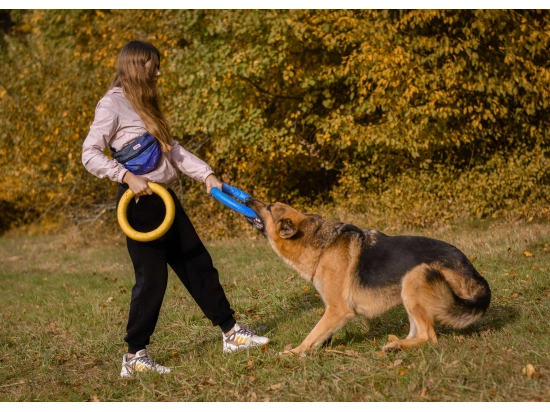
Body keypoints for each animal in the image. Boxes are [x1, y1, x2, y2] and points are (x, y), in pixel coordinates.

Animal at [246, 198, 492, 352]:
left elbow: (312, 334)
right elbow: (321, 334)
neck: (322, 245)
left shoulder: (338, 310)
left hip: (416, 277)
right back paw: (396, 344)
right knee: (418, 333)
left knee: (428, 336)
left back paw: (398, 346)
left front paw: (297, 352)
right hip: (407, 292)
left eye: (269, 207)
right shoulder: (332, 312)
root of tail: (476, 276)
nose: (247, 200)